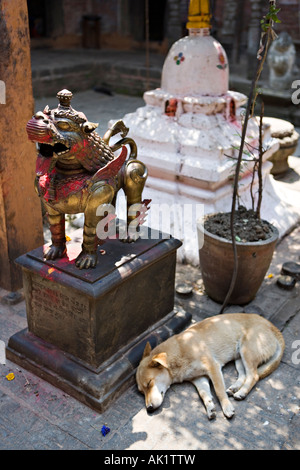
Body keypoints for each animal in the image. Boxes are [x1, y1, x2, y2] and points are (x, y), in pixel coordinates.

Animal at [137, 312, 284, 418]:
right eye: (141, 392)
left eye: (149, 383)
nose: (149, 408)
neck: (180, 350)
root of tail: (272, 326)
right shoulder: (198, 378)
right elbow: (204, 394)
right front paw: (210, 407)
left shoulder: (213, 367)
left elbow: (219, 390)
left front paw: (226, 406)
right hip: (239, 359)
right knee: (244, 376)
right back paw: (235, 388)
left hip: (247, 352)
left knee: (254, 376)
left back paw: (242, 392)